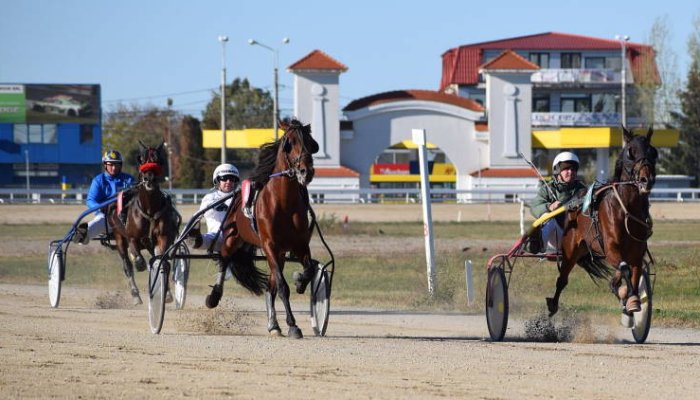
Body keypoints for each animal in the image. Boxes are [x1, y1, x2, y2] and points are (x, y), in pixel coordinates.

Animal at [108, 142, 179, 304]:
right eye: (141, 159)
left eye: (159, 160)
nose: (149, 178)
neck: (150, 210)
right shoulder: (132, 237)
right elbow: (137, 258)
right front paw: (139, 264)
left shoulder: (163, 237)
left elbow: (162, 261)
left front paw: (166, 293)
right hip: (119, 237)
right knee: (127, 264)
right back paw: (135, 294)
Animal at [205, 118, 320, 338]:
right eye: (290, 143)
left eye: (311, 143)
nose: (306, 171)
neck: (284, 202)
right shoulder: (269, 245)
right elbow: (283, 287)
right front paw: (293, 325)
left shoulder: (299, 245)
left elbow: (309, 270)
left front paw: (300, 281)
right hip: (232, 237)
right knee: (224, 259)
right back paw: (214, 296)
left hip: (280, 254)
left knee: (270, 286)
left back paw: (273, 325)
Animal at [548, 126, 656, 318]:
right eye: (630, 152)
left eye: (653, 152)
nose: (646, 180)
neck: (627, 209)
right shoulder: (611, 248)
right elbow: (625, 268)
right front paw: (629, 297)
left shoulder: (637, 251)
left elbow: (633, 272)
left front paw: (630, 298)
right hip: (571, 250)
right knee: (562, 280)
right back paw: (553, 305)